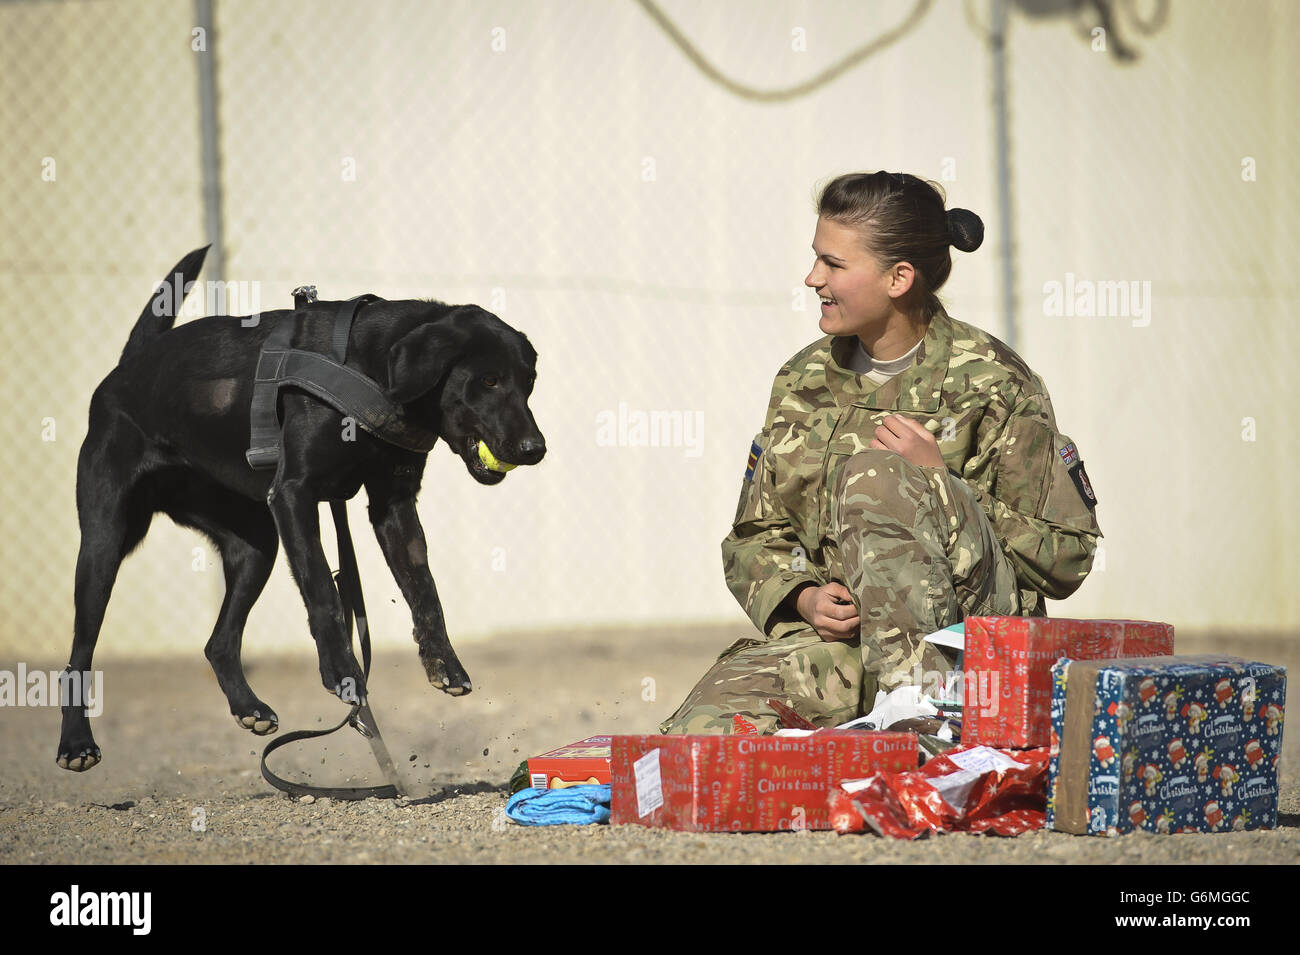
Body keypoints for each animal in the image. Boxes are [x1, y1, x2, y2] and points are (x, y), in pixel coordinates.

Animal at [58, 250, 546, 774]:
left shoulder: (393, 505)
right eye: (488, 380)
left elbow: (425, 589)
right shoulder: (294, 495)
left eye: (528, 383)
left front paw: (445, 663)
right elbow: (323, 592)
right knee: (79, 653)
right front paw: (343, 672)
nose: (535, 449)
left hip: (257, 546)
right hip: (105, 543)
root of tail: (123, 370)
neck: (373, 366)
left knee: (219, 643)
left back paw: (248, 708)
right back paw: (76, 744)